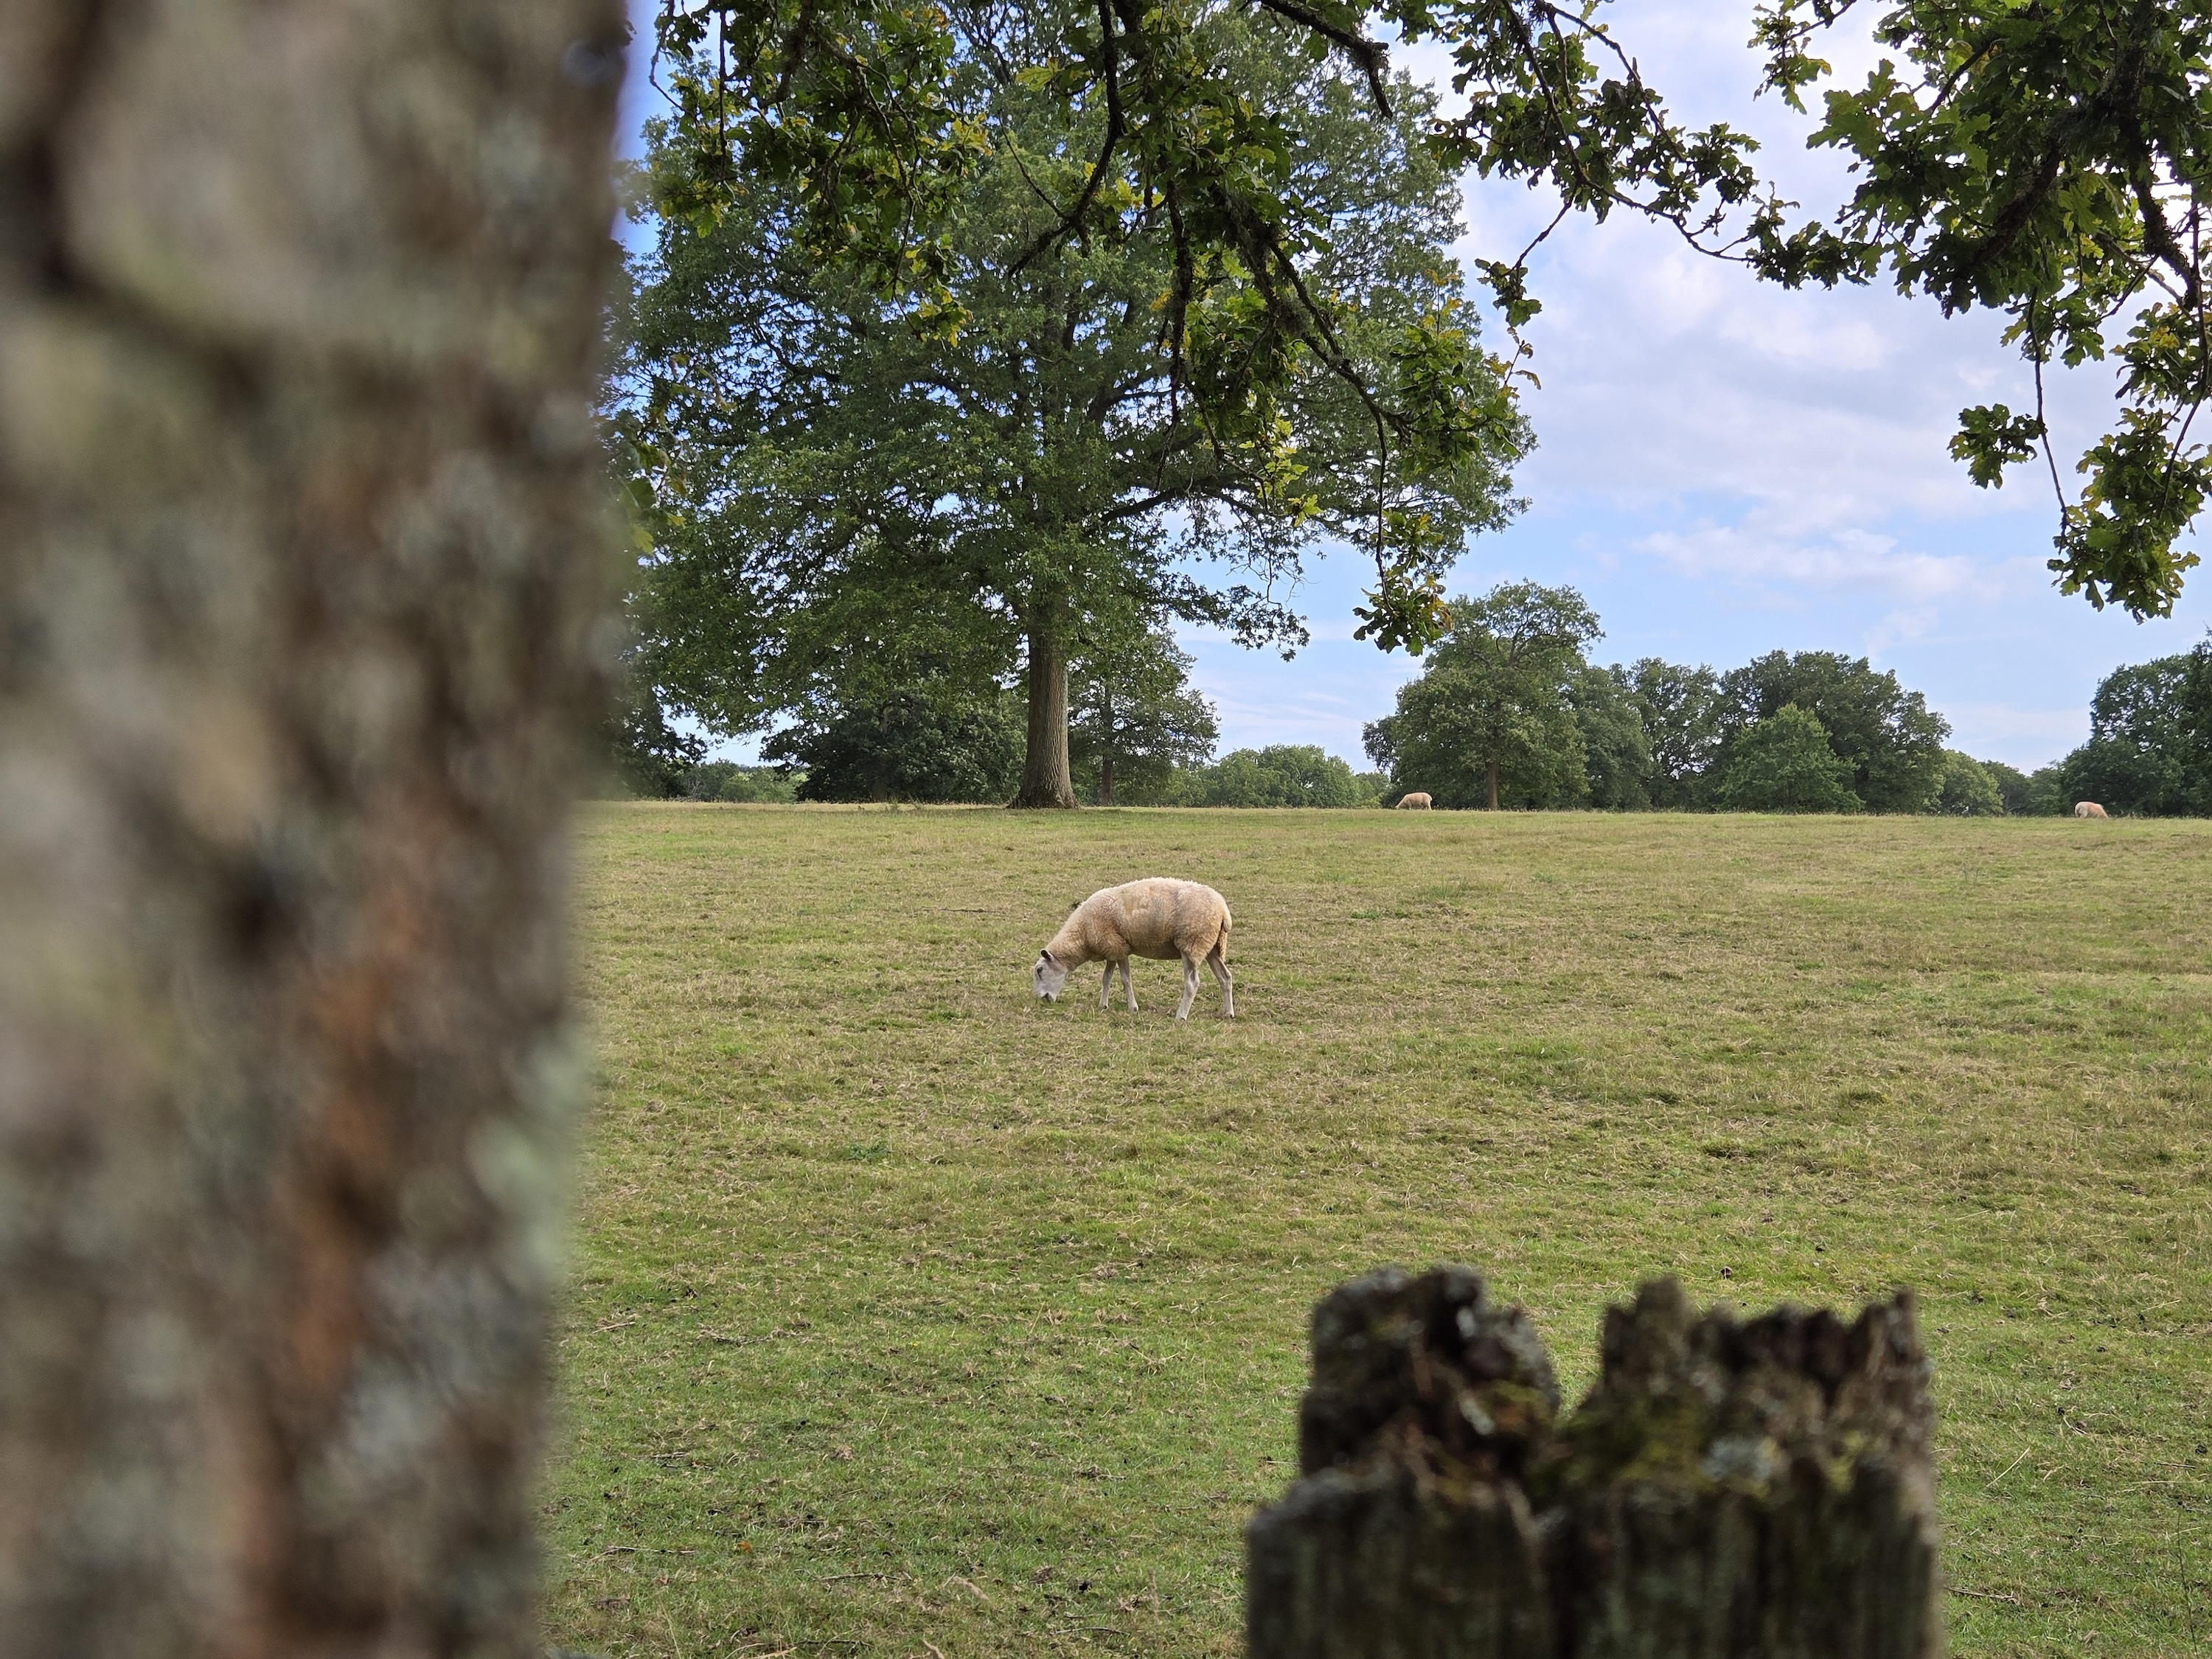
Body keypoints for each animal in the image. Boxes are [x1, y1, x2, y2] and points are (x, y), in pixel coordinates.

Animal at [1031, 876, 1239, 1022]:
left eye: (1040, 970)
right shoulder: (1111, 948)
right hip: (1213, 946)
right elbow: (1106, 978)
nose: (1042, 998)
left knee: (1192, 983)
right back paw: (1228, 1013)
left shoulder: (1119, 948)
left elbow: (1125, 980)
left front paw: (1133, 1008)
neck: (1082, 934)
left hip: (1191, 944)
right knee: (1225, 977)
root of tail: (1223, 911)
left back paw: (1181, 1015)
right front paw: (1103, 1005)